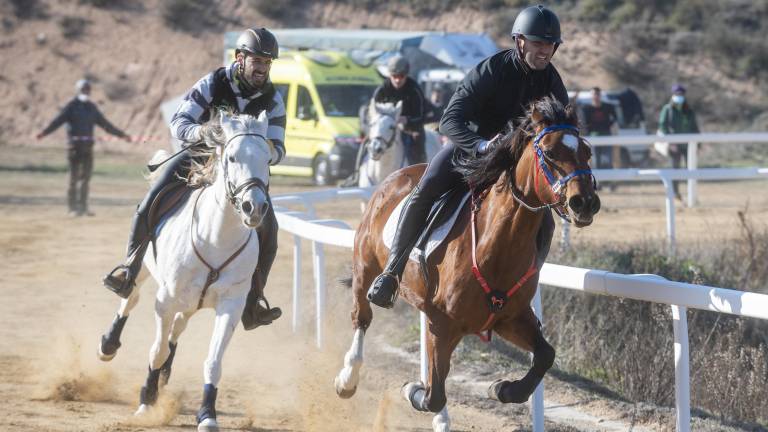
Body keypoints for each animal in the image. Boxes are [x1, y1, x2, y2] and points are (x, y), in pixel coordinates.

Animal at [98, 110, 272, 428]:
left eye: (268, 158)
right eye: (232, 158)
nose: (253, 207)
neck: (216, 237)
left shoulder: (231, 305)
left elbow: (213, 362)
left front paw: (207, 414)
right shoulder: (165, 300)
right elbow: (157, 351)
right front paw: (146, 401)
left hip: (192, 302)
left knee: (178, 326)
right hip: (143, 270)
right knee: (131, 297)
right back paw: (108, 345)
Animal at [336, 98, 600, 432]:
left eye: (587, 151)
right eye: (551, 153)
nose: (585, 202)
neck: (497, 246)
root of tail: (397, 175)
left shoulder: (510, 318)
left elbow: (545, 355)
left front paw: (503, 389)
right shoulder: (442, 323)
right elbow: (433, 393)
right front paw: (411, 389)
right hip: (365, 268)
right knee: (362, 317)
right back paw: (347, 379)